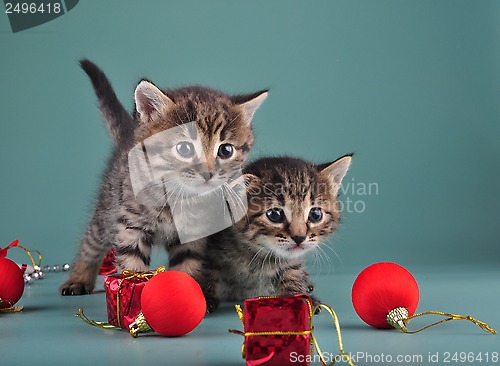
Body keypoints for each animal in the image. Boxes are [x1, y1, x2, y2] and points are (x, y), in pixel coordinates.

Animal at [60, 59, 268, 294]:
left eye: (226, 151)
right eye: (184, 149)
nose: (208, 173)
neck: (178, 197)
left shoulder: (194, 235)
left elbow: (188, 266)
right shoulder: (130, 226)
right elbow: (132, 266)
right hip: (108, 206)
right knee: (90, 240)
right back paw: (79, 277)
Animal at [198, 154, 352, 312]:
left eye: (315, 214)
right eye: (275, 214)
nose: (299, 237)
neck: (258, 255)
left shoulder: (292, 262)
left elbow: (292, 275)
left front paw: (299, 298)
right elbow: (205, 269)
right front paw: (206, 297)